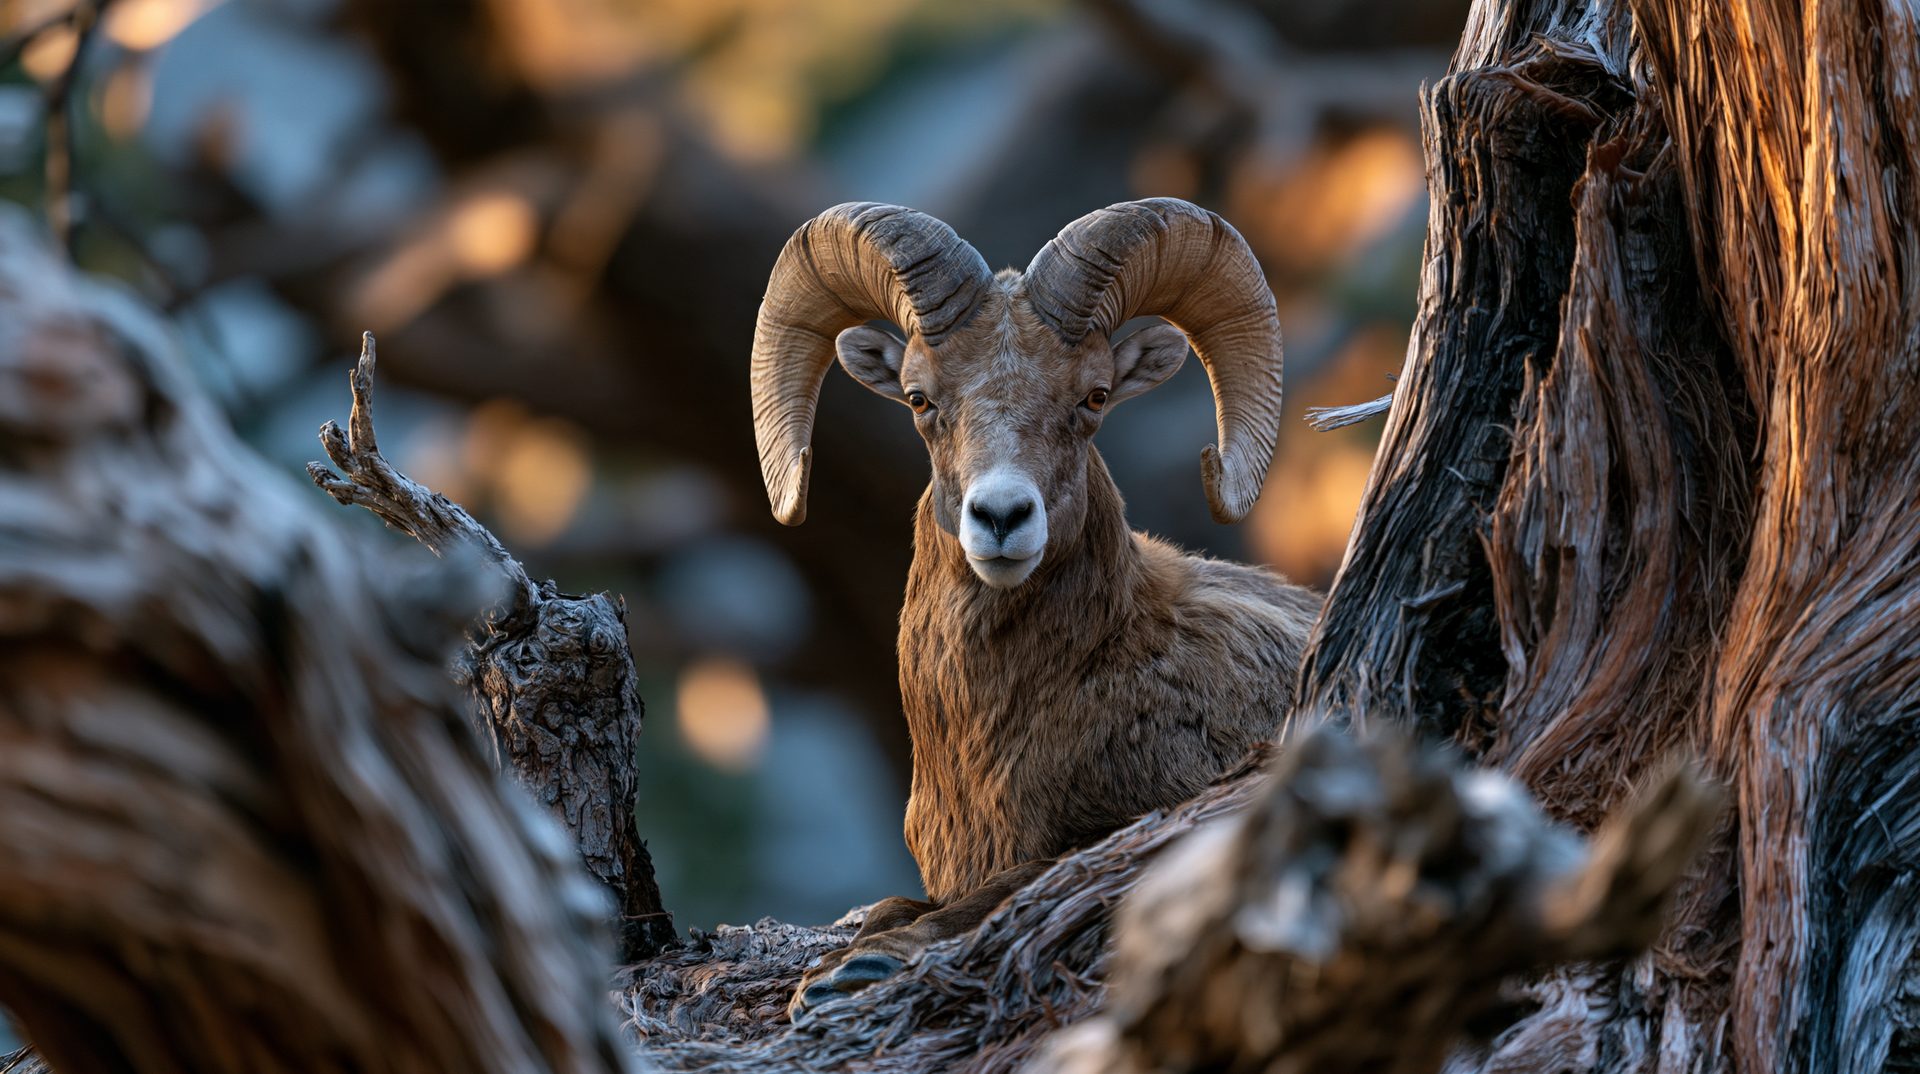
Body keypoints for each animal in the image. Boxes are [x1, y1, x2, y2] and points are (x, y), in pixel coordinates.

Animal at [749, 198, 1322, 1017]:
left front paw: (856, 969)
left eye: (1094, 396)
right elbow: (896, 903)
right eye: (920, 399)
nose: (1001, 516)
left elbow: (1013, 883)